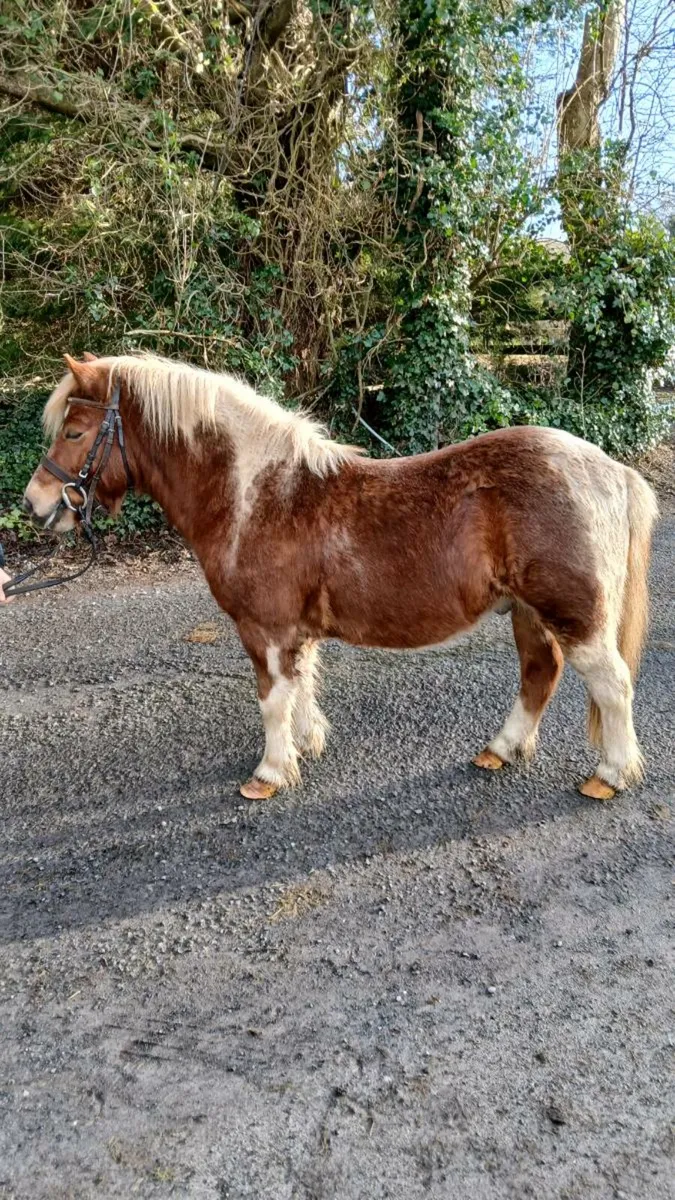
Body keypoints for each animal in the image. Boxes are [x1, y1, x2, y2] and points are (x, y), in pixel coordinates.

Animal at [23, 352, 658, 803]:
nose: (35, 504)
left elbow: (272, 698)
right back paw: (501, 749)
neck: (257, 495)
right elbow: (300, 687)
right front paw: (306, 746)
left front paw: (270, 772)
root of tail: (611, 469)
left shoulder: (265, 629)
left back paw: (609, 775)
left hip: (574, 614)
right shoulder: (295, 631)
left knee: (612, 685)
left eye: (75, 431)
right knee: (539, 673)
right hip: (529, 611)